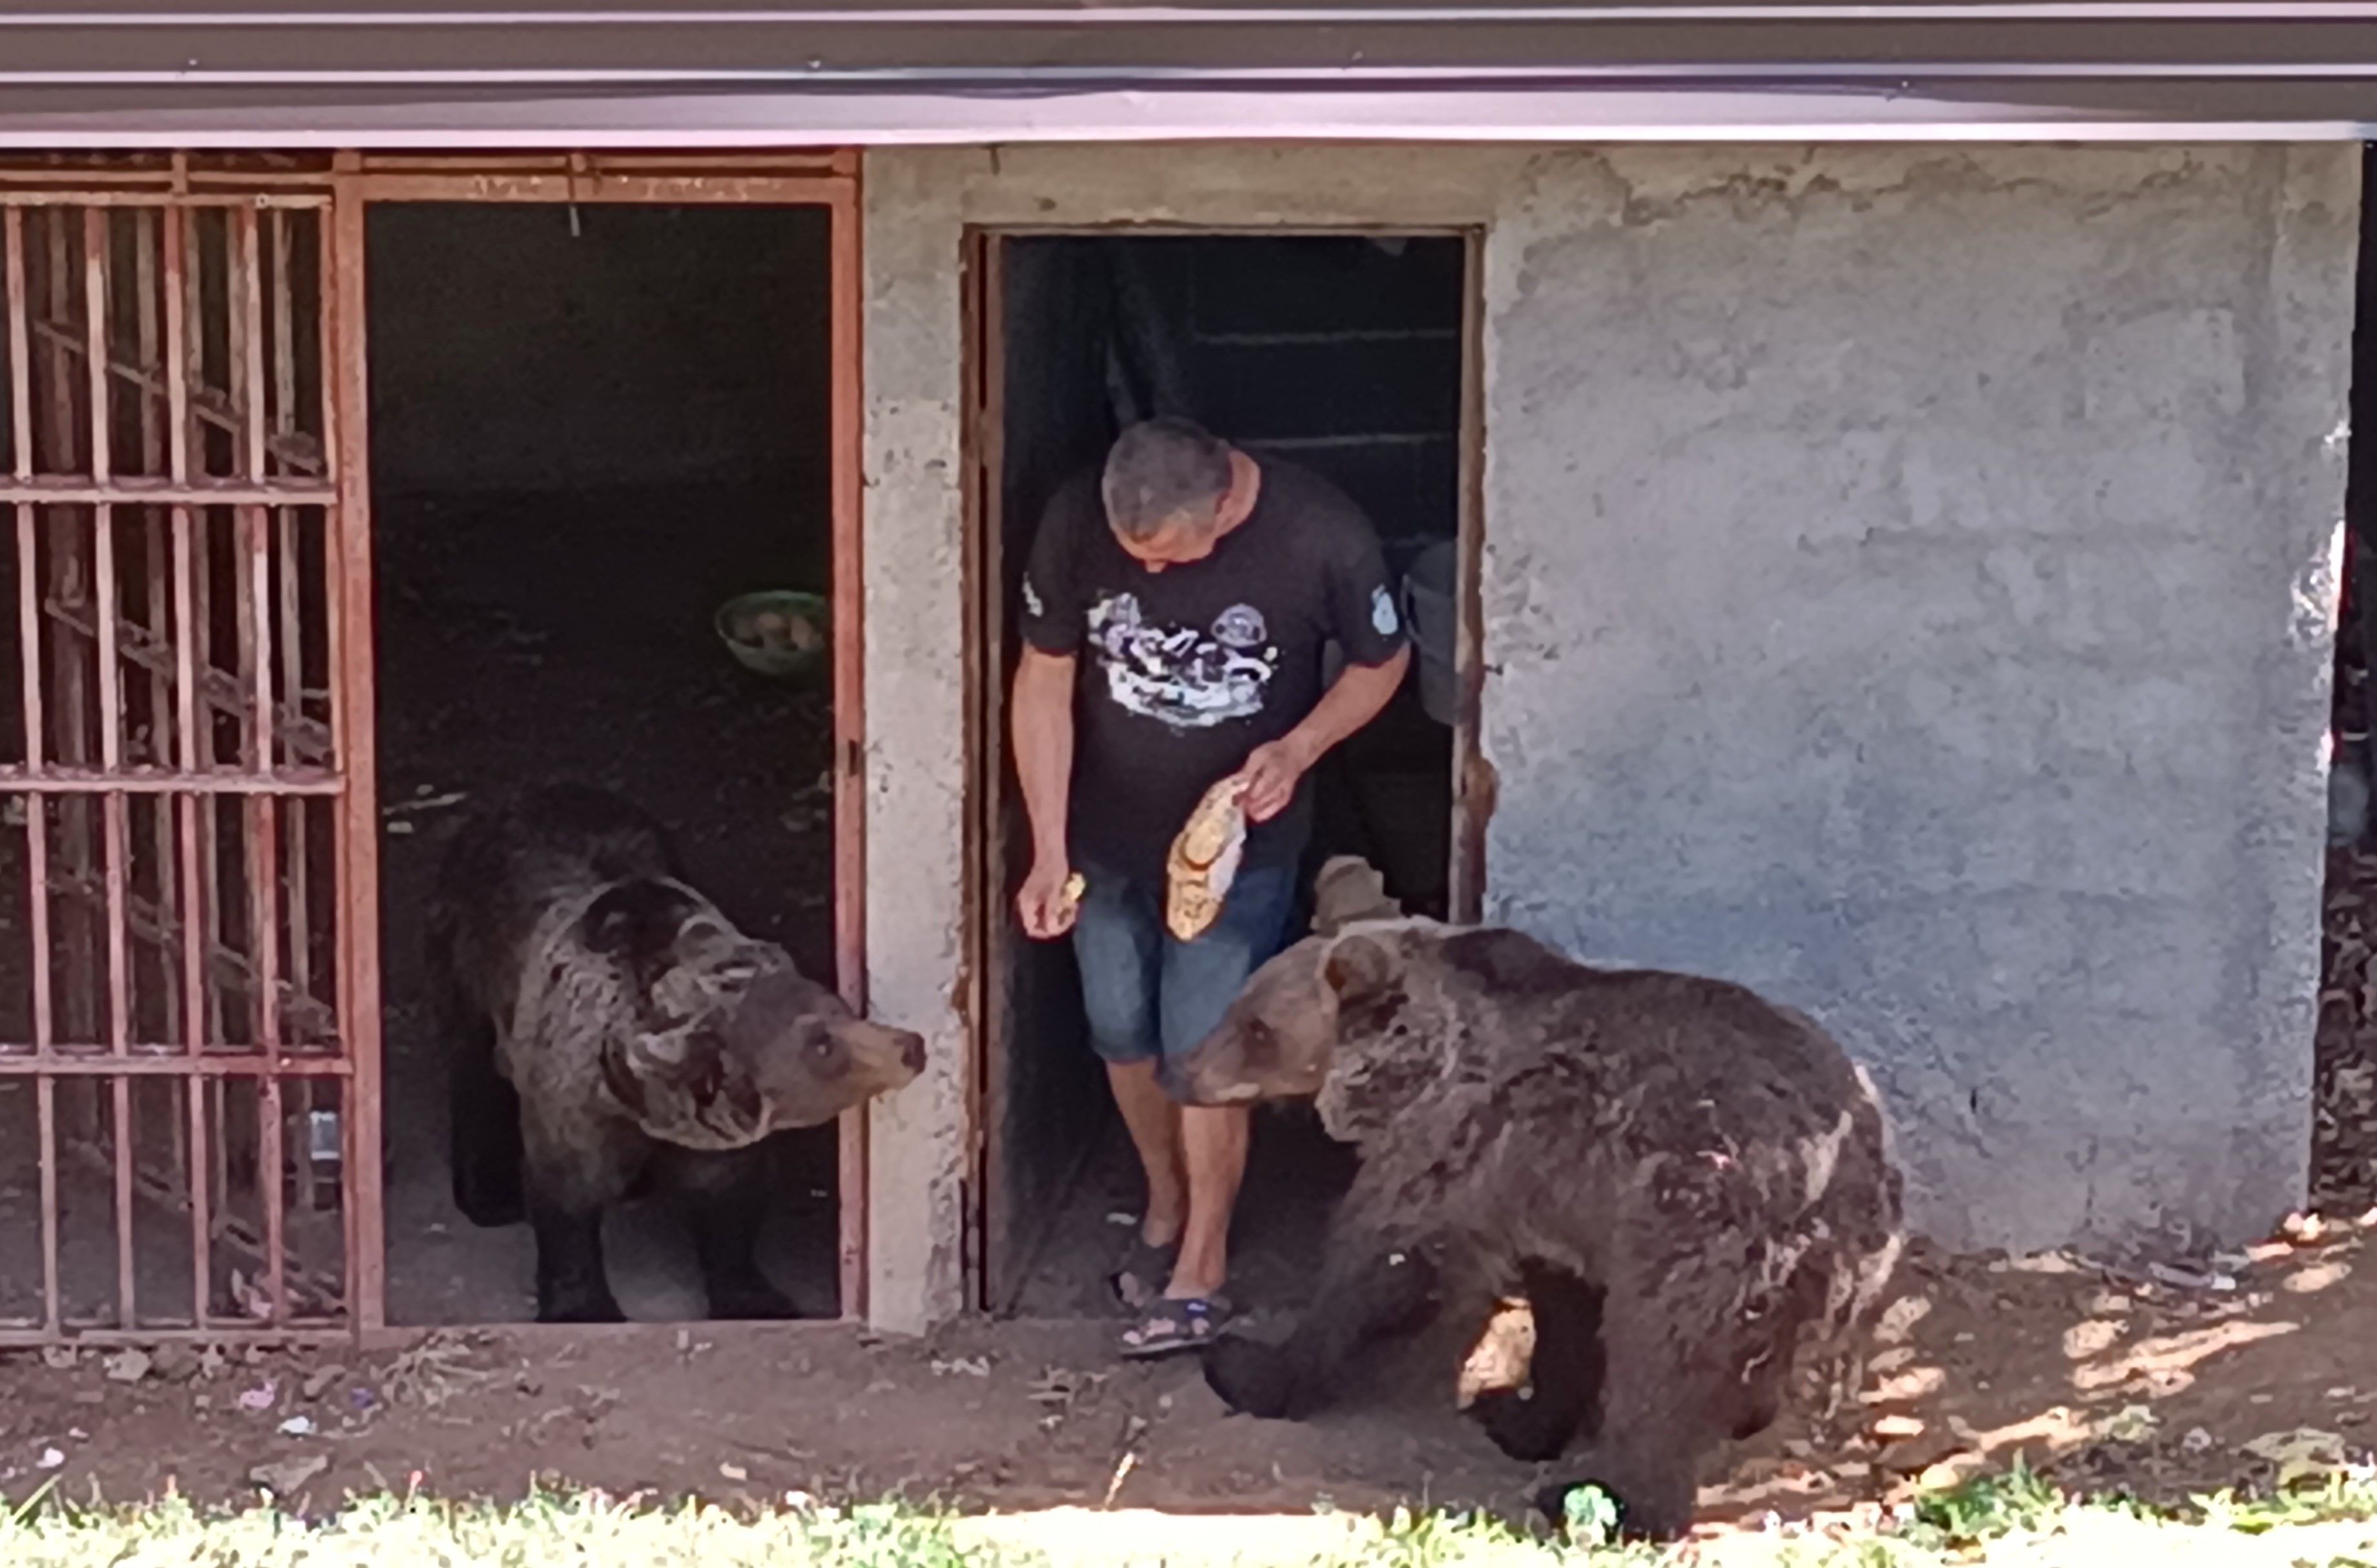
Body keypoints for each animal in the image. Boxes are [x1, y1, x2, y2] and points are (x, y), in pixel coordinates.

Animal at [428, 784, 917, 1321]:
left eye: (844, 1006)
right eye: (822, 1044)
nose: (910, 1046)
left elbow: (729, 1201)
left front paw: (754, 1295)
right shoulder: (574, 1094)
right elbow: (568, 1195)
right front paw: (583, 1304)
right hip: (468, 962)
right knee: (474, 1075)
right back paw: (488, 1194)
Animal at [1178, 850, 1901, 1539]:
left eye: (1257, 1027)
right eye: (1241, 1007)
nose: (1187, 1070)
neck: (1407, 1069)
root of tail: (1852, 1168)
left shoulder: (1460, 1148)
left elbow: (1378, 1266)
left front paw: (1251, 1365)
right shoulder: (1553, 1190)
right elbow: (1564, 1314)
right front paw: (1521, 1416)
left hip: (1704, 1214)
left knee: (1662, 1359)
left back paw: (1614, 1497)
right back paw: (1745, 1414)